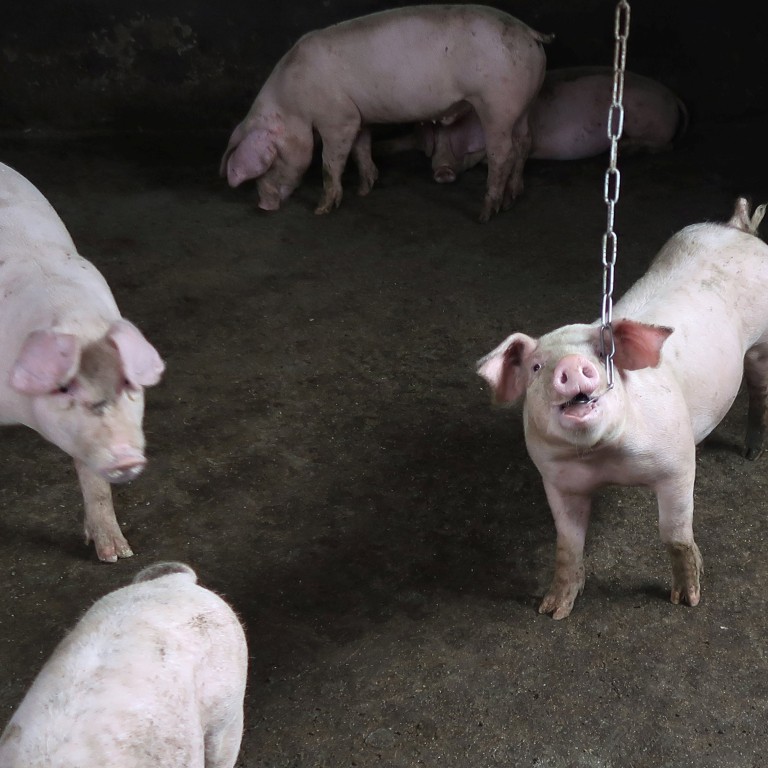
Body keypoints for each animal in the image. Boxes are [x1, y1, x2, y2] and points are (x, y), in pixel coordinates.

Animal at [220, 5, 552, 222]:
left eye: (269, 165)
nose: (262, 206)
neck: (293, 103)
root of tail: (529, 32)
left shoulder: (338, 117)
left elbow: (330, 162)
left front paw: (322, 210)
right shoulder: (359, 116)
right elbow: (361, 149)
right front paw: (365, 190)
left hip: (497, 102)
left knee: (503, 153)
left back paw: (486, 213)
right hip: (523, 104)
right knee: (525, 142)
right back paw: (512, 199)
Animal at [379, 67, 688, 183]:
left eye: (461, 141)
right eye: (438, 136)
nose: (443, 173)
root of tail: (673, 96)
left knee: (667, 145)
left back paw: (626, 149)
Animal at [477, 198, 768, 619]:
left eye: (604, 355)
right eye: (536, 367)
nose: (570, 365)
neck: (604, 458)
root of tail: (737, 228)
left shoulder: (678, 463)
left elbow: (675, 536)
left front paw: (687, 600)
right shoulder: (557, 479)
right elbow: (567, 543)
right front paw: (552, 610)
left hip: (762, 342)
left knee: (759, 388)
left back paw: (752, 452)